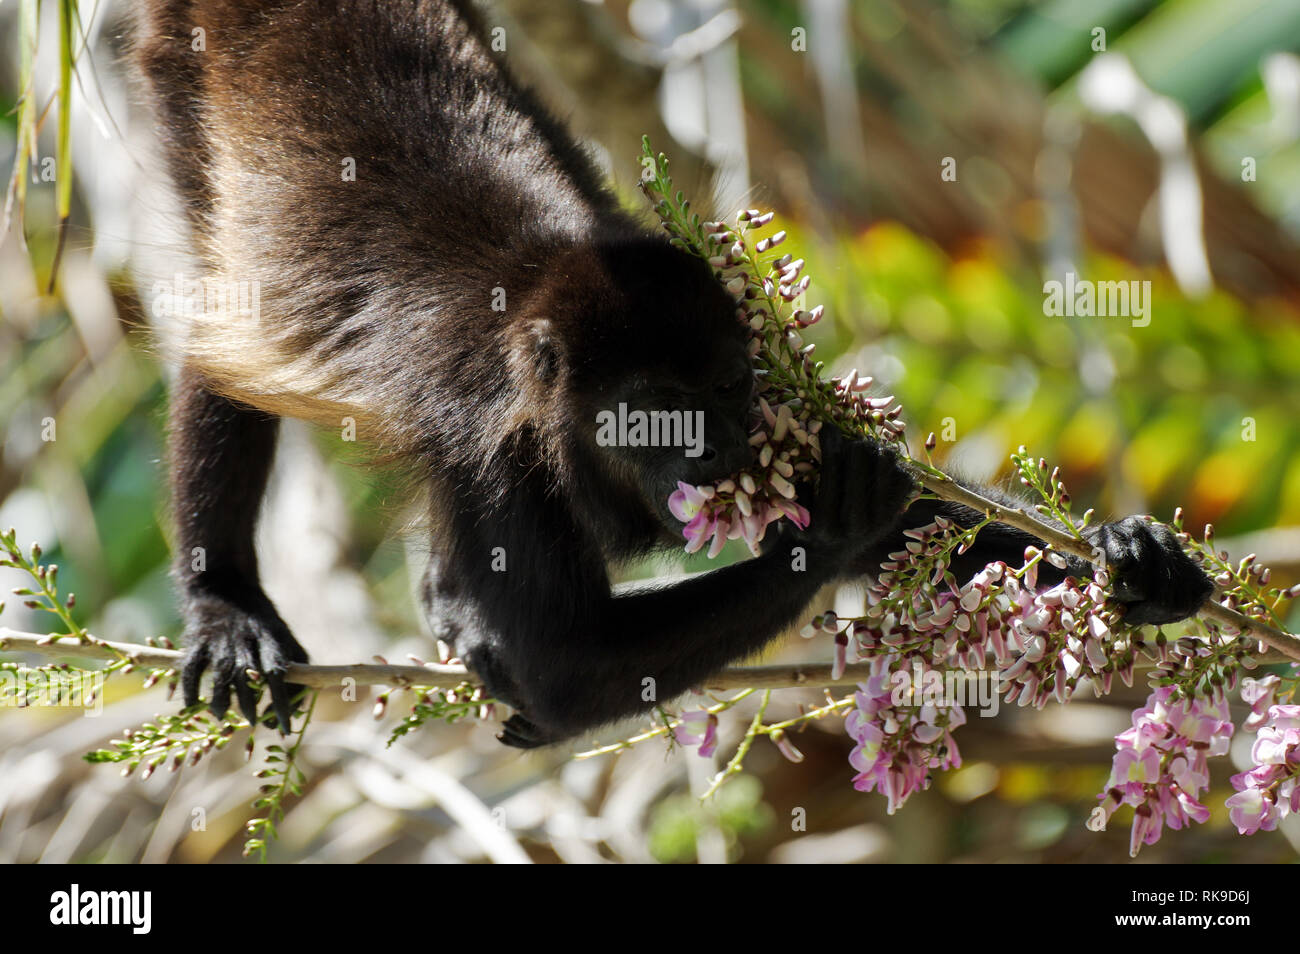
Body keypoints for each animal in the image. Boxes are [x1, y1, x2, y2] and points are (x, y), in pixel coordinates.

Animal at [131, 0, 1206, 748]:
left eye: (724, 389)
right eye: (649, 409)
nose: (715, 450)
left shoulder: (775, 391)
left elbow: (916, 532)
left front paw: (1131, 558)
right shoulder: (491, 448)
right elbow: (564, 664)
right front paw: (837, 528)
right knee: (228, 328)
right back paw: (227, 606)